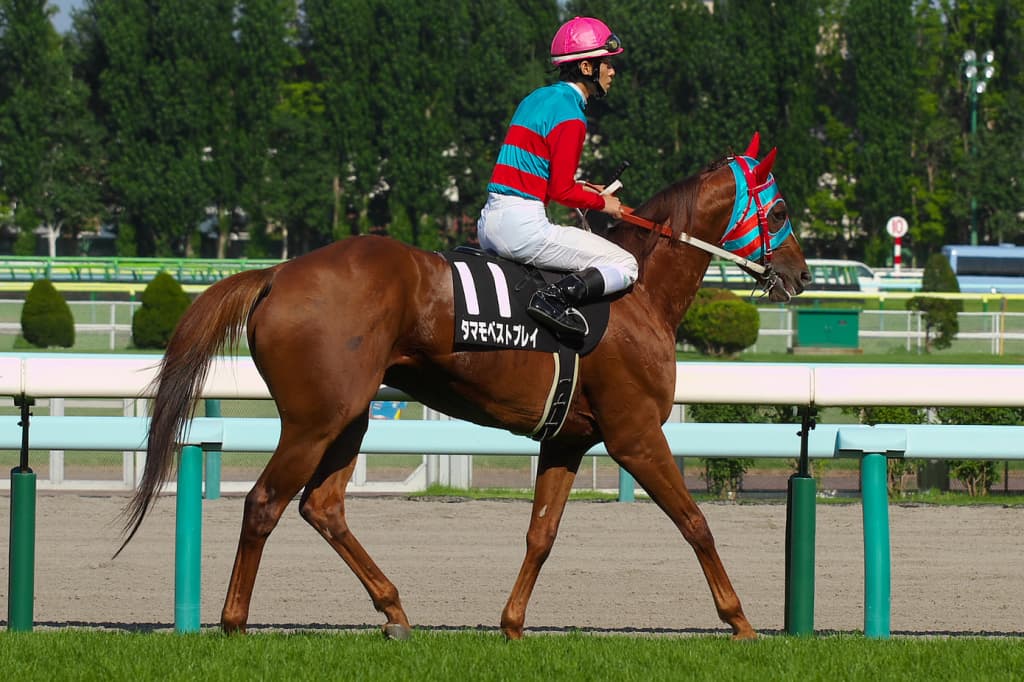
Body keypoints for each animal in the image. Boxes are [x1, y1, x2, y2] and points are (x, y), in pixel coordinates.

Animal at [119, 133, 809, 640]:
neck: (636, 295)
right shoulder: (635, 434)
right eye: (778, 210)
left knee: (323, 506)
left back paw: (395, 612)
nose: (801, 274)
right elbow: (696, 522)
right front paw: (742, 622)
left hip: (349, 415)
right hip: (316, 418)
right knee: (264, 501)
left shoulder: (568, 439)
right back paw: (235, 624)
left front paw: (512, 626)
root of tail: (279, 273)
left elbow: (541, 534)